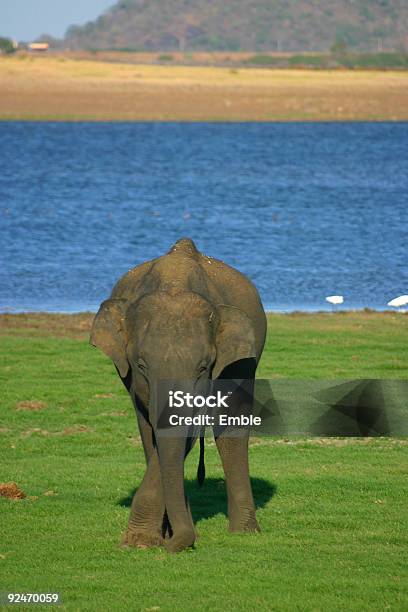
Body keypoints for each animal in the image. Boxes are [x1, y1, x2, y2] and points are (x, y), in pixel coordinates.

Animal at [90, 237, 266, 552]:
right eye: (141, 365)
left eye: (204, 367)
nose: (172, 545)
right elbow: (154, 433)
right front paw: (146, 540)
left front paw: (142, 540)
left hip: (248, 357)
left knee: (231, 430)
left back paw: (245, 532)